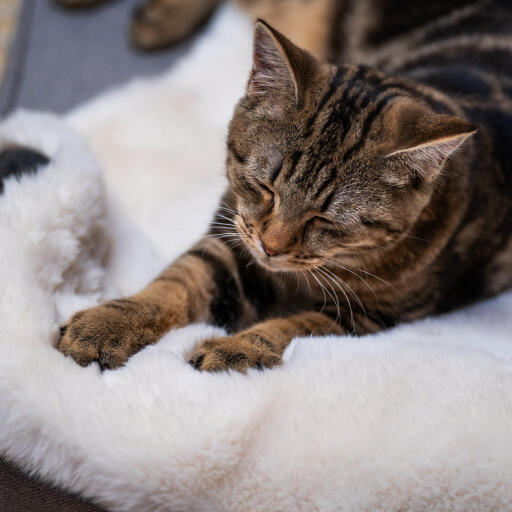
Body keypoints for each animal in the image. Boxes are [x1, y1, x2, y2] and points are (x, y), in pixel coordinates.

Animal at [57, 2, 512, 374]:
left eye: (326, 219)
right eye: (265, 187)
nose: (271, 248)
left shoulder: (367, 317)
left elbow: (295, 328)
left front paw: (236, 349)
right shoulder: (229, 242)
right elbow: (176, 282)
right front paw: (107, 323)